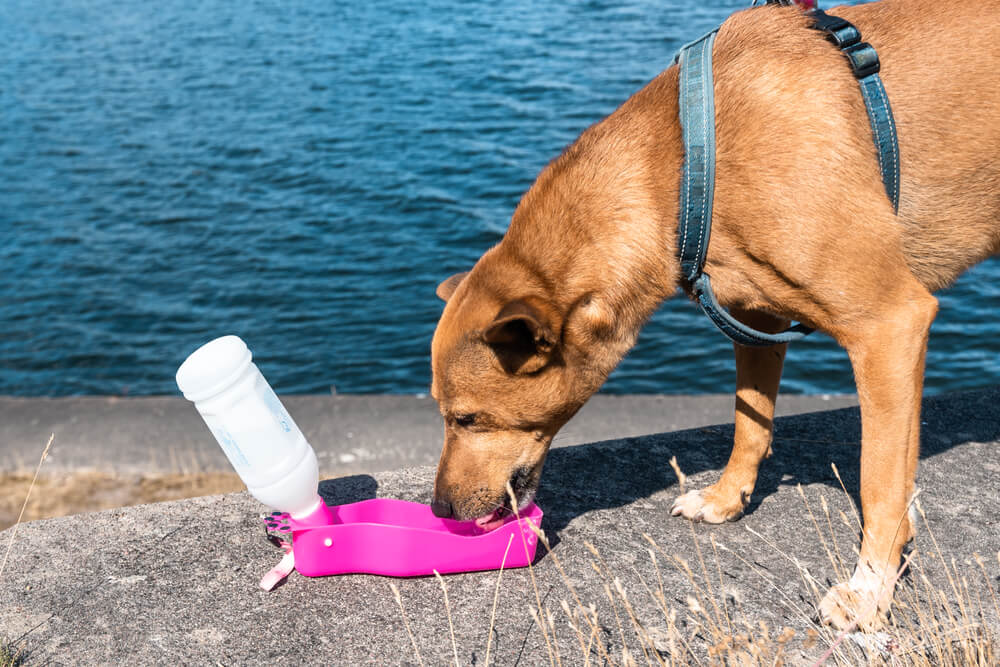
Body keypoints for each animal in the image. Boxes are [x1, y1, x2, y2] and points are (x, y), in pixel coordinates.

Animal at [426, 0, 996, 628]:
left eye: (467, 419)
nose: (439, 507)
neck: (680, 173)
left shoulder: (889, 324)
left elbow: (880, 480)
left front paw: (870, 587)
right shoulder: (757, 322)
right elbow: (750, 423)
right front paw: (728, 499)